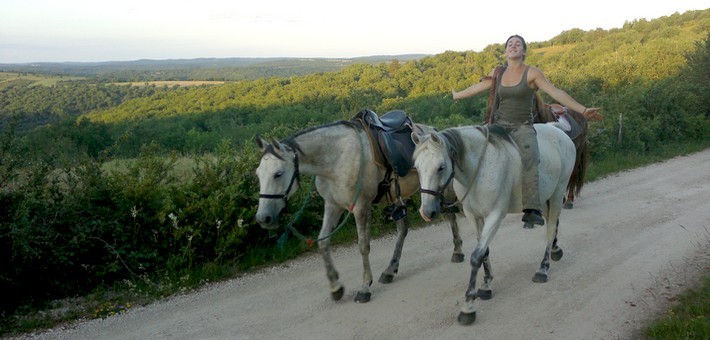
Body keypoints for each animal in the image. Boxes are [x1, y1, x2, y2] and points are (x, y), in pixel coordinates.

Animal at [256, 119, 462, 302]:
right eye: (258, 174)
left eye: (278, 174)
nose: (263, 218)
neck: (336, 159)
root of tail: (434, 131)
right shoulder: (332, 205)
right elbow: (323, 242)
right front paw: (336, 287)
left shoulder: (361, 207)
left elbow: (363, 246)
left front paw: (364, 288)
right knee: (403, 229)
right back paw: (390, 270)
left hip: (441, 190)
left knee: (451, 216)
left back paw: (457, 252)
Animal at [412, 123, 580, 326]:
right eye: (417, 168)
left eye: (441, 167)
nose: (427, 212)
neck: (479, 170)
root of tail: (555, 128)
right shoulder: (474, 217)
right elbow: (484, 251)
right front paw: (486, 284)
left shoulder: (495, 216)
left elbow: (476, 256)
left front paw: (468, 306)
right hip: (545, 197)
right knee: (552, 224)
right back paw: (555, 250)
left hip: (557, 193)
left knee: (550, 228)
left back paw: (543, 268)